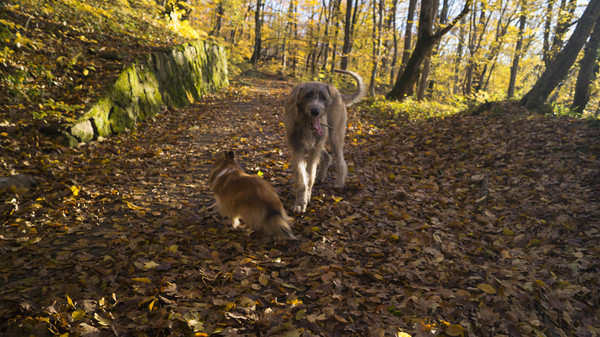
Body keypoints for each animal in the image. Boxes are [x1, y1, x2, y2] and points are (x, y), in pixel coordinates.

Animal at [282, 69, 366, 213]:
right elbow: (301, 176)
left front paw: (306, 198)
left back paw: (339, 182)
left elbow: (309, 175)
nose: (315, 111)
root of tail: (338, 93)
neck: (305, 124)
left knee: (340, 160)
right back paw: (321, 176)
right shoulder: (297, 148)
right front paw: (300, 201)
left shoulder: (315, 147)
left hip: (334, 136)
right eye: (308, 95)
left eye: (323, 98)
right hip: (321, 141)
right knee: (327, 157)